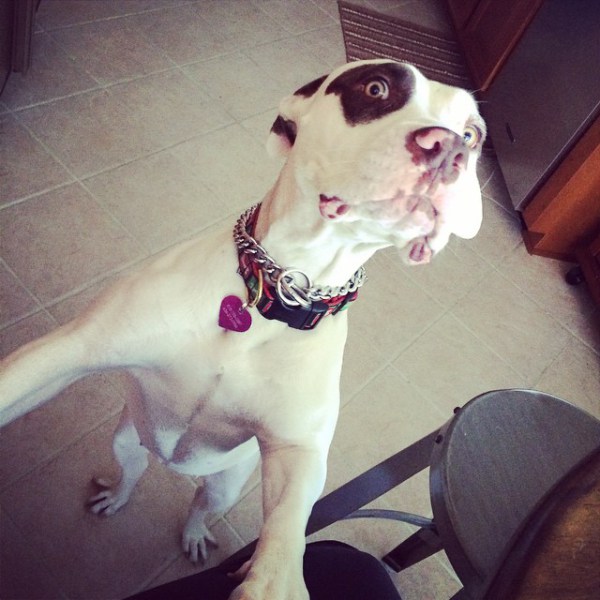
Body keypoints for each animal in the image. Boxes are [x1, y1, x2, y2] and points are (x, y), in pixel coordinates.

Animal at [0, 59, 486, 600]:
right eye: (376, 88)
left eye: (473, 133)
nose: (450, 148)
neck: (280, 290)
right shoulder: (69, 351)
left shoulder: (296, 453)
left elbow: (287, 533)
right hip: (126, 439)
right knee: (133, 471)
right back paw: (120, 495)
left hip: (227, 483)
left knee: (200, 505)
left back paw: (194, 533)